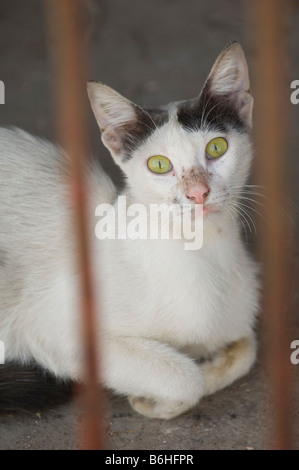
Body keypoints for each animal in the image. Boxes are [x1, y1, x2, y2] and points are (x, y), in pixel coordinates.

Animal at [0, 42, 260, 418]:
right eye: (159, 165)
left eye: (216, 147)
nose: (198, 193)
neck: (204, 252)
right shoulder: (52, 328)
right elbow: (185, 377)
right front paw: (153, 400)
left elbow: (246, 346)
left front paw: (212, 364)